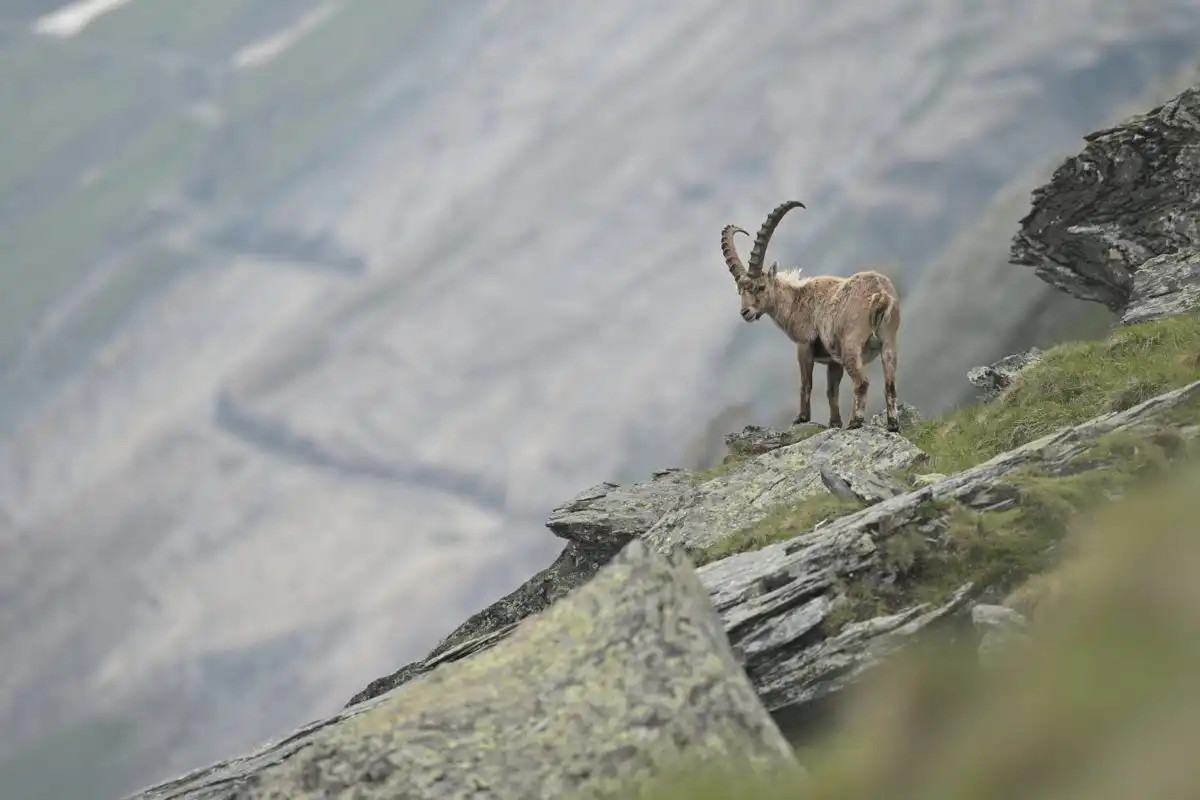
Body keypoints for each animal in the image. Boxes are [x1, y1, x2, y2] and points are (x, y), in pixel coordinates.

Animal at [720, 200, 903, 432]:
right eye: (740, 291)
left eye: (760, 287)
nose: (746, 313)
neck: (797, 300)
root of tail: (880, 294)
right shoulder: (834, 360)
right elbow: (831, 391)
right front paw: (834, 422)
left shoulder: (804, 344)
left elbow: (806, 383)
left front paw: (801, 418)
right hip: (888, 342)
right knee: (890, 384)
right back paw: (892, 425)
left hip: (852, 345)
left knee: (862, 382)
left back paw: (855, 422)